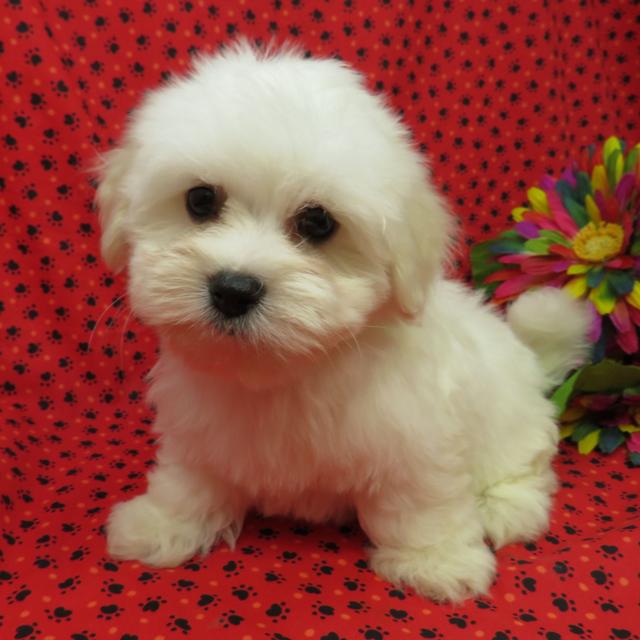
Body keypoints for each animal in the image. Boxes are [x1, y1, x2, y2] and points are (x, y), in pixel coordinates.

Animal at [96, 42, 592, 604]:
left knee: (525, 466)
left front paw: (436, 559)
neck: (285, 373)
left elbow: (420, 501)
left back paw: (505, 508)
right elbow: (190, 481)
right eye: (200, 199)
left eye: (318, 223)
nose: (233, 288)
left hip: (513, 422)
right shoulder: (199, 430)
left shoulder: (416, 439)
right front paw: (163, 524)